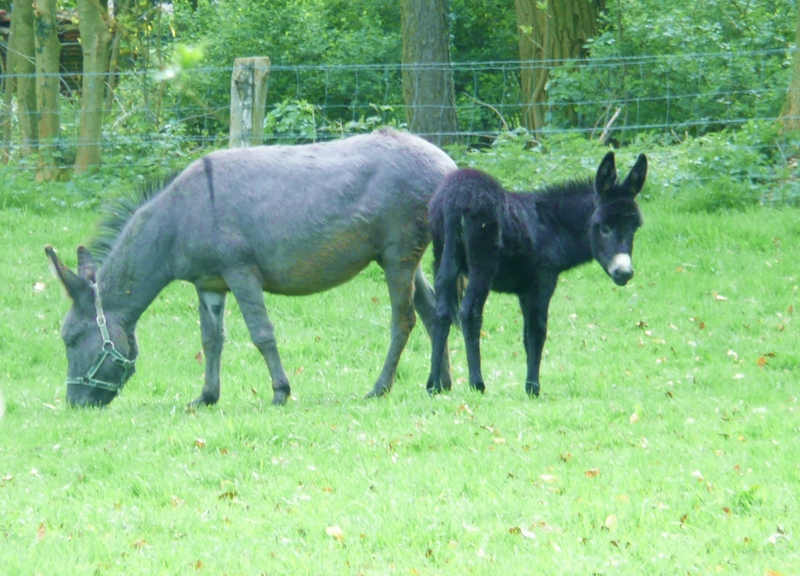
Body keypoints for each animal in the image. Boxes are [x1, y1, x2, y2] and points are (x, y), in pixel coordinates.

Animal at [428, 151, 648, 398]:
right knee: (469, 313)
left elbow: (527, 335)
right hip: (481, 265)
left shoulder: (525, 291)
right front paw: (532, 388)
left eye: (635, 227)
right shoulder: (542, 283)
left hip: (441, 258)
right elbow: (537, 331)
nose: (624, 273)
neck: (553, 228)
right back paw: (477, 384)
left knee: (441, 313)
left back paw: (433, 385)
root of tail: (454, 199)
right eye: (603, 228)